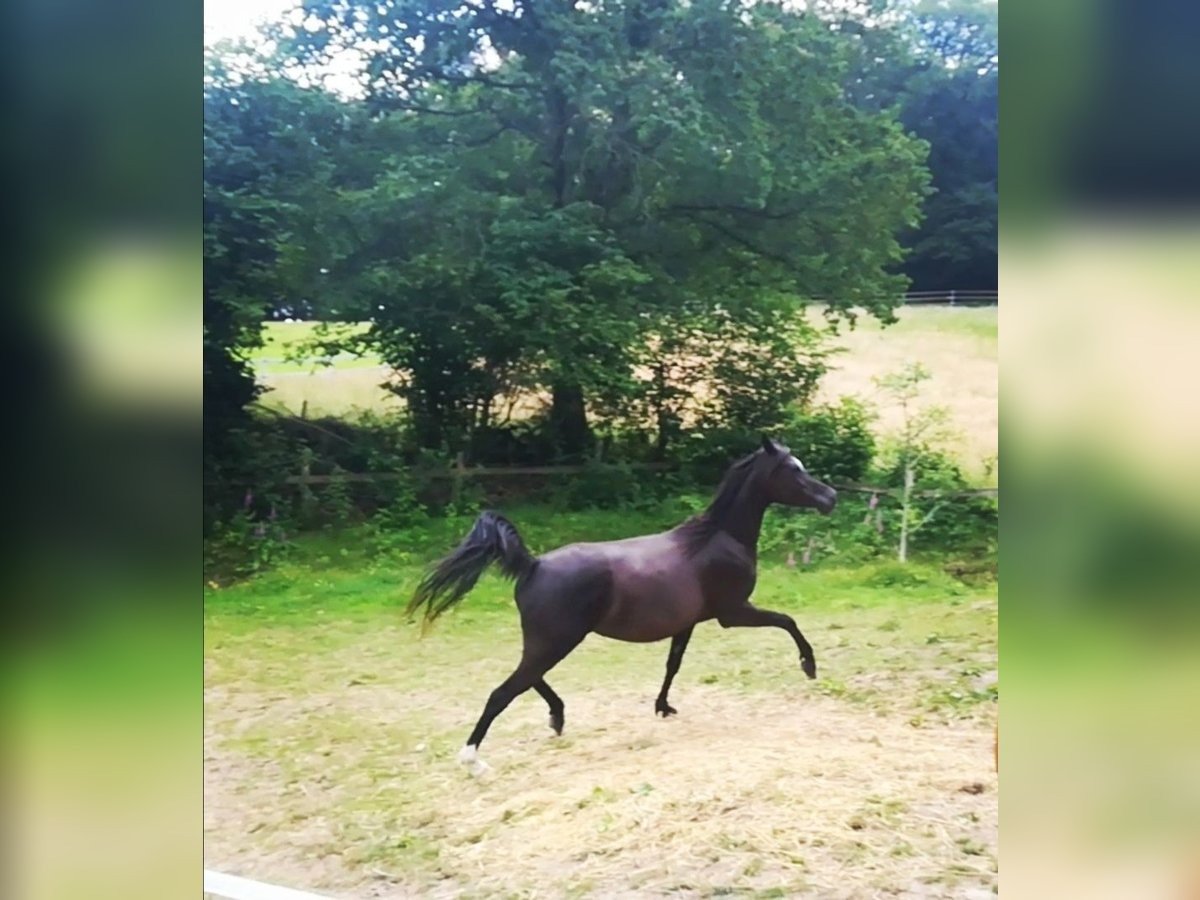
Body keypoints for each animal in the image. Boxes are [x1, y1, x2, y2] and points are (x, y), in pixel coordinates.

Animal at [406, 436, 838, 773]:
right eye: (793, 470)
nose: (830, 497)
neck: (716, 540)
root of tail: (533, 565)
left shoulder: (688, 622)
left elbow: (673, 663)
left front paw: (663, 707)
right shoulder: (733, 612)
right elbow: (787, 620)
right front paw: (809, 665)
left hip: (547, 641)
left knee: (527, 678)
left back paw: (557, 716)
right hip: (558, 640)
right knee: (505, 690)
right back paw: (473, 759)